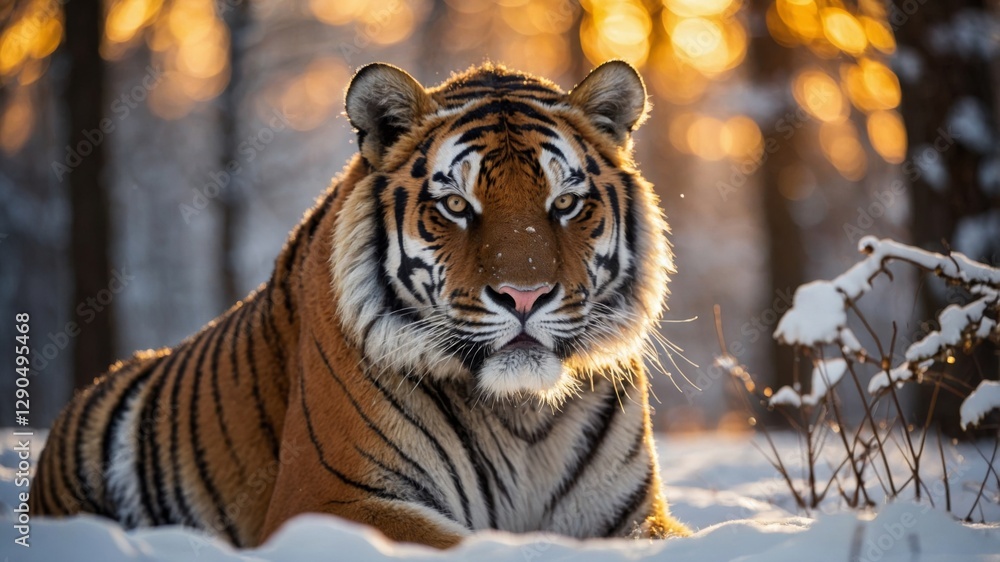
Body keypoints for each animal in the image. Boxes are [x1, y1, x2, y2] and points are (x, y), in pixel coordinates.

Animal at [29, 60, 690, 549]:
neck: (521, 416)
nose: (522, 295)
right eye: (456, 206)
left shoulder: (633, 514)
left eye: (565, 203)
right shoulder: (329, 498)